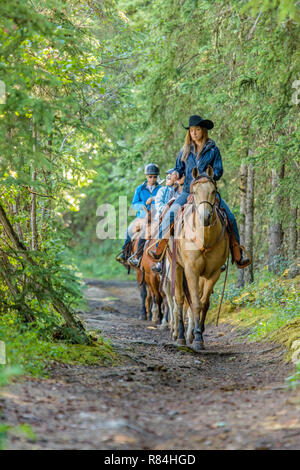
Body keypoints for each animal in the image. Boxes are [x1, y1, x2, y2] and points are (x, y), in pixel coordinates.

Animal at [169, 167, 230, 350]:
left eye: (213, 191)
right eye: (194, 192)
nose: (206, 217)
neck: (205, 239)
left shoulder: (213, 273)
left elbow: (204, 303)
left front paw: (199, 333)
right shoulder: (191, 271)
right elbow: (195, 303)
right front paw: (195, 338)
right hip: (177, 268)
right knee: (180, 300)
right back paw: (181, 337)